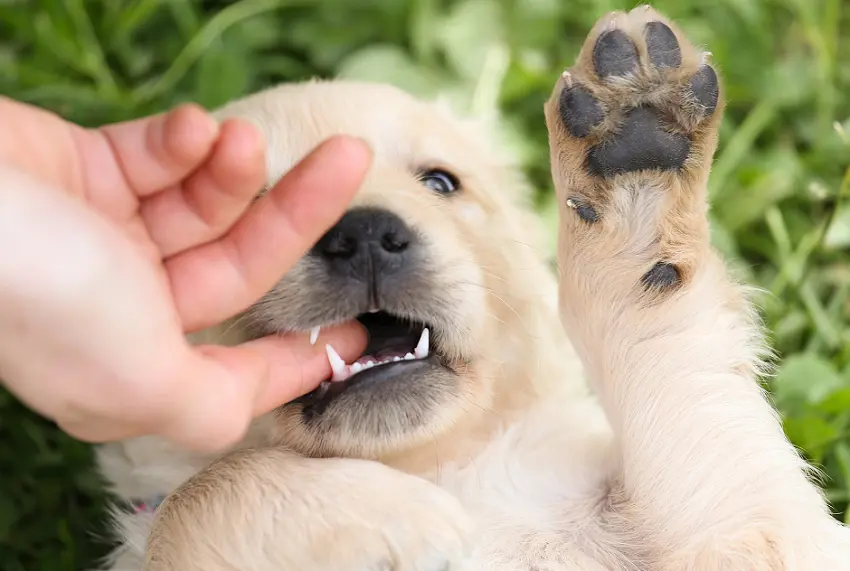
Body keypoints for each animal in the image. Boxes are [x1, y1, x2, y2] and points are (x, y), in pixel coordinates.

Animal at [94, 5, 848, 571]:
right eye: (248, 205)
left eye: (439, 181)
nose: (364, 234)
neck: (439, 464)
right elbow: (197, 492)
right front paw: (394, 515)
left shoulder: (760, 530)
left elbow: (681, 378)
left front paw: (637, 155)